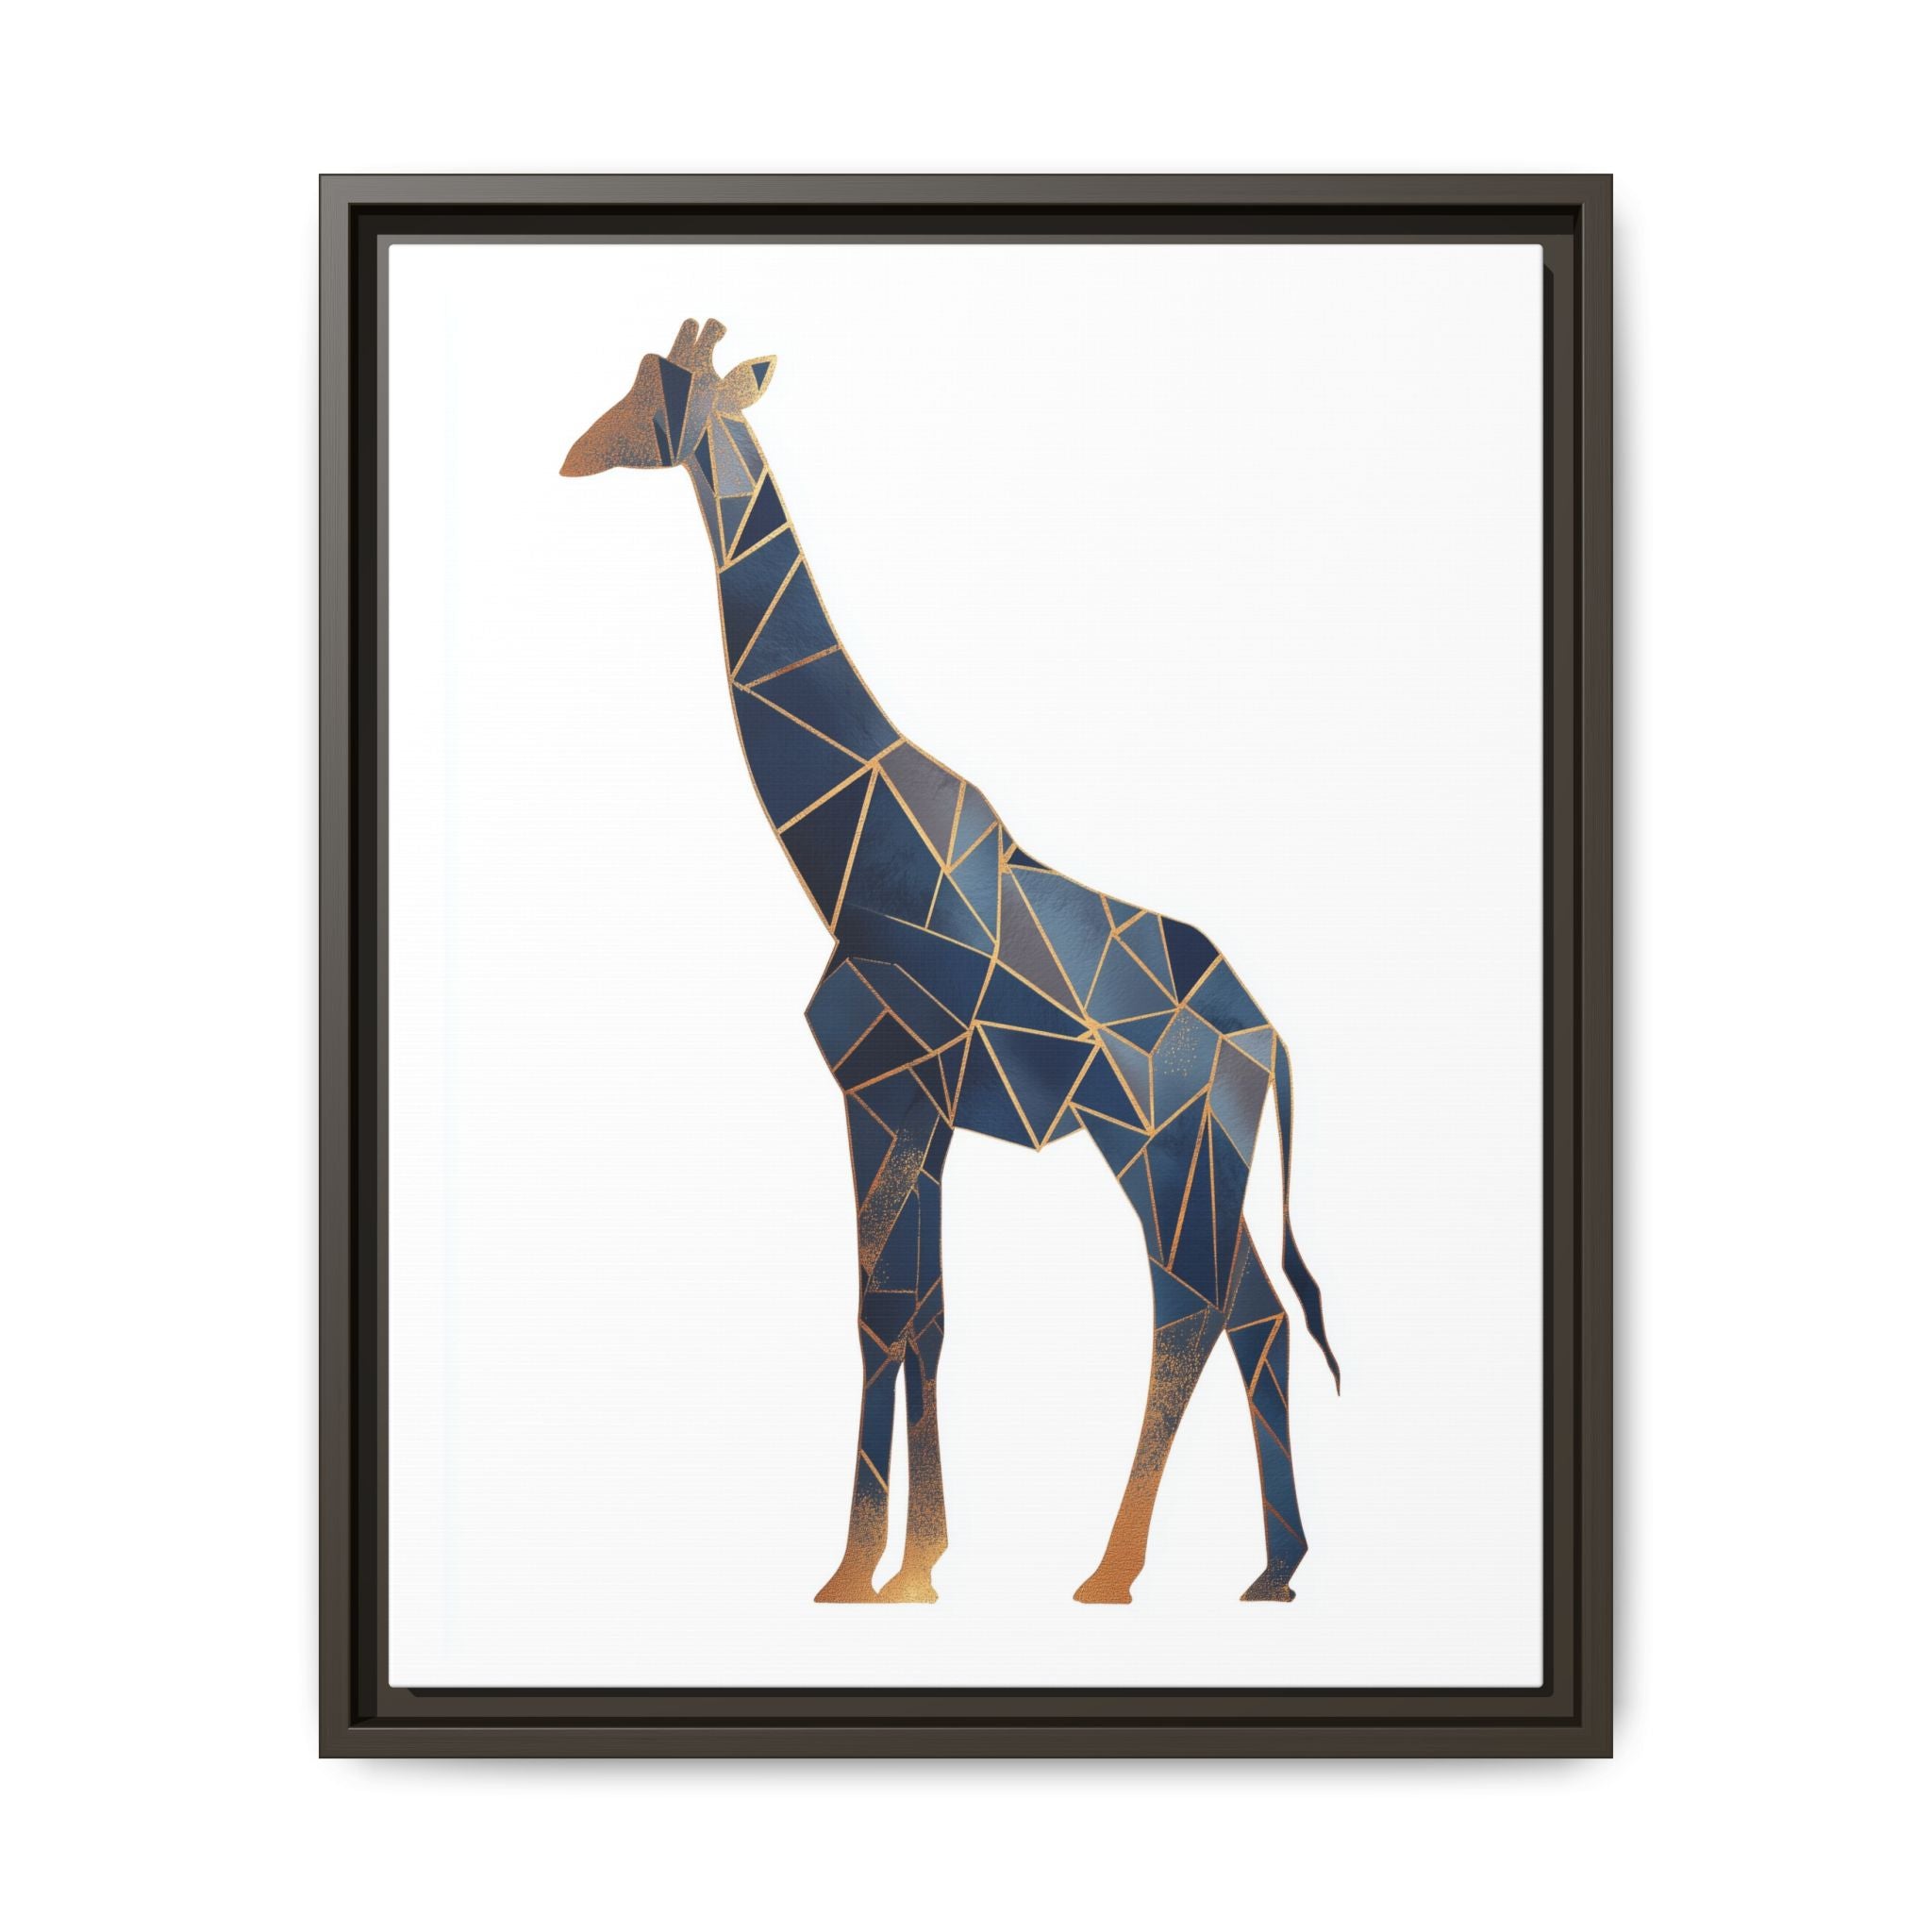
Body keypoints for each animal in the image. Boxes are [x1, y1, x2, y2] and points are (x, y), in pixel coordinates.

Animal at [562, 317, 1339, 1605]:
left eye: (661, 396)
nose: (576, 453)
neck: (848, 855)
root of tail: (1266, 1037)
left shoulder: (885, 1089)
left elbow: (886, 1313)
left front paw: (872, 1569)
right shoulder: (911, 1109)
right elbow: (914, 1313)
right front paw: (898, 1564)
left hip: (1158, 1145)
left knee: (1192, 1308)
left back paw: (1116, 1570)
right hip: (1197, 1155)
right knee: (1252, 1314)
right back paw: (1270, 1567)